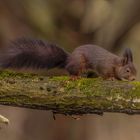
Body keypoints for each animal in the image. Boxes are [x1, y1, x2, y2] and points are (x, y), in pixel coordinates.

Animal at [0, 37, 137, 80]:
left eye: (136, 70)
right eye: (127, 70)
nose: (134, 78)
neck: (116, 64)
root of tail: (69, 58)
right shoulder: (104, 66)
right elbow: (105, 73)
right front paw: (110, 78)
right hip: (79, 63)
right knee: (70, 70)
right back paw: (75, 76)